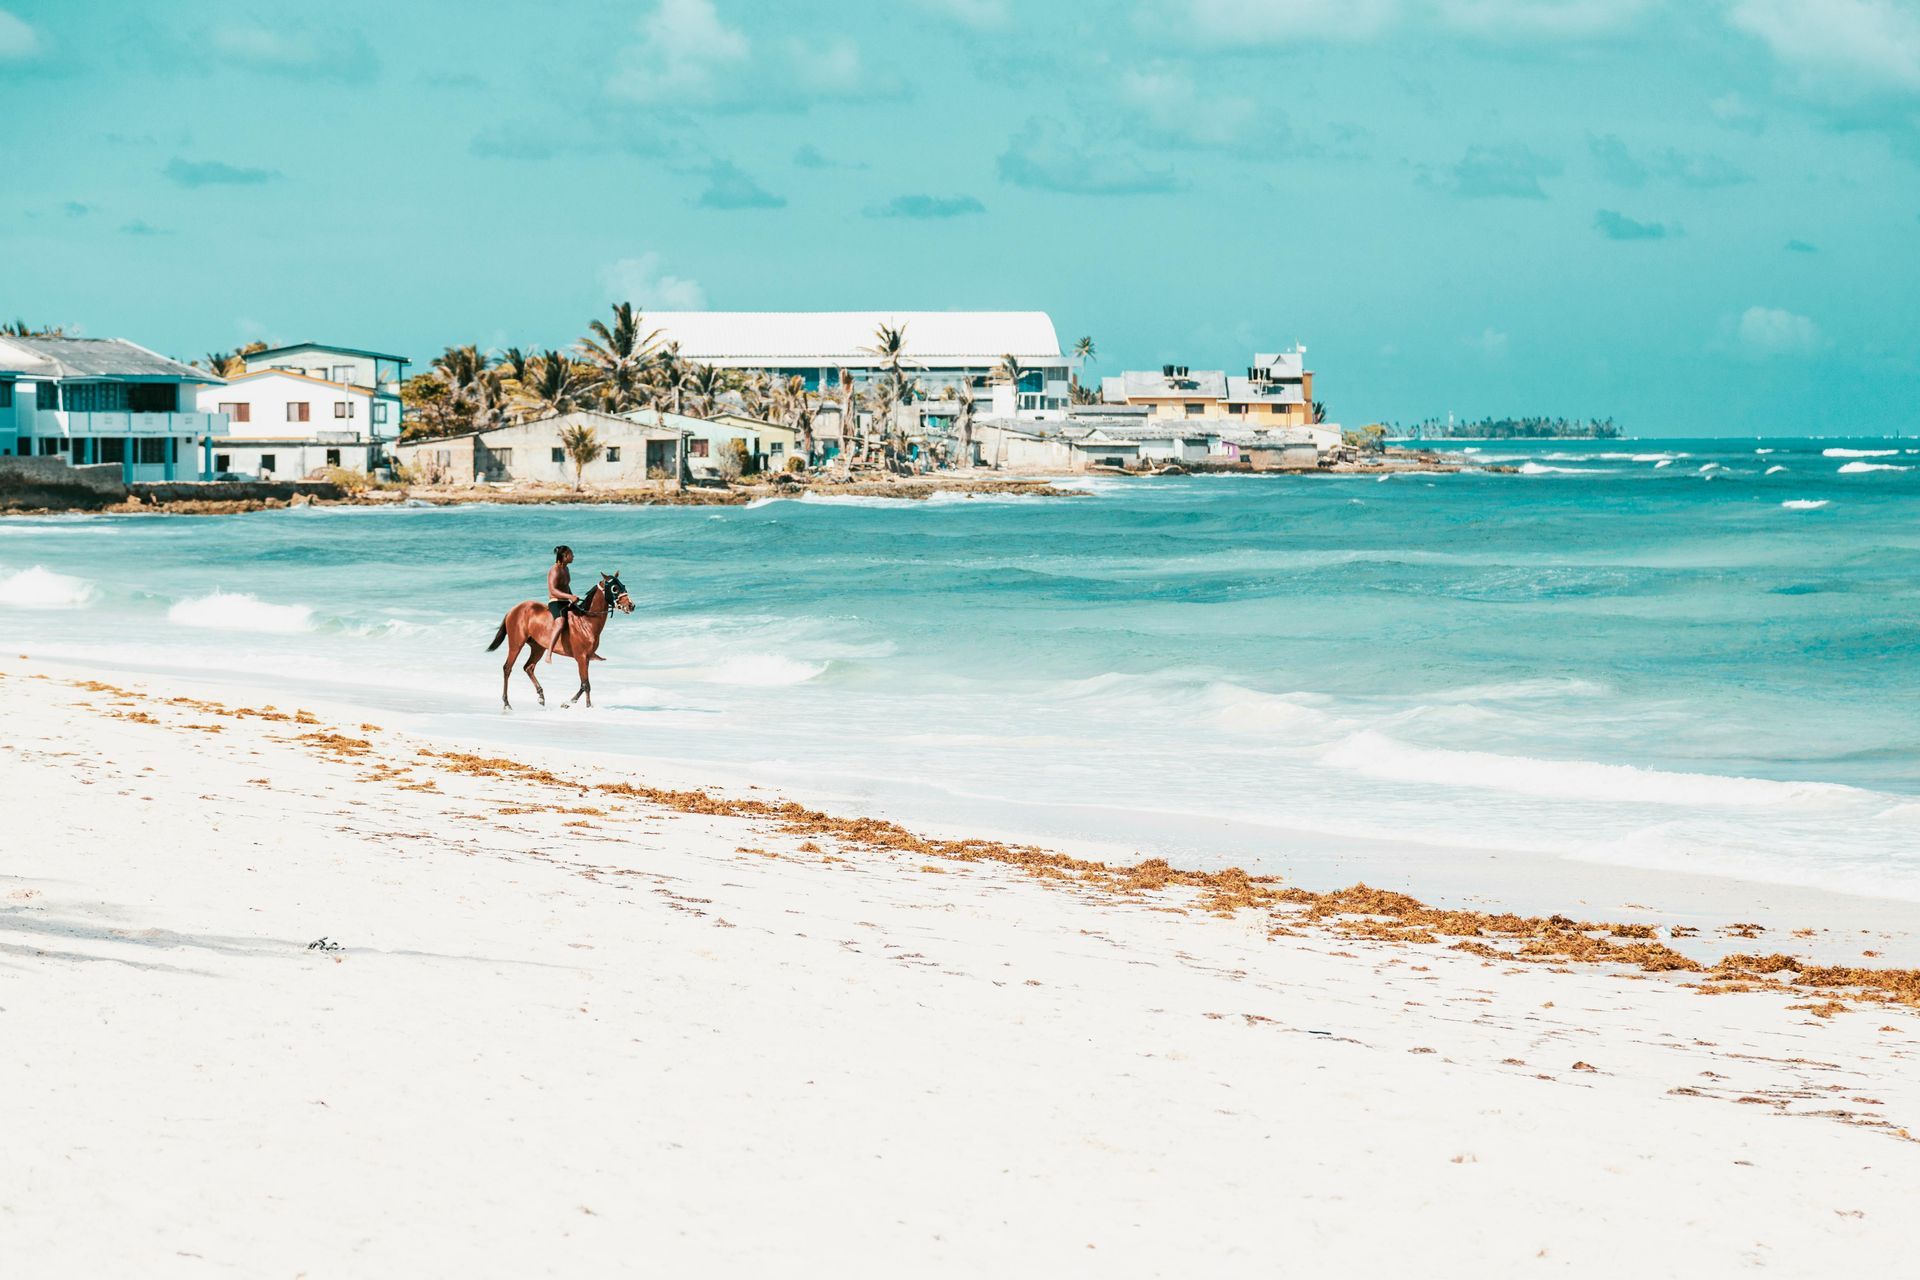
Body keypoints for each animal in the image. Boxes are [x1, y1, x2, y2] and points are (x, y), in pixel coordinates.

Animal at [483, 571, 633, 710]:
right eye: (614, 588)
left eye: (623, 586)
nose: (631, 606)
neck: (586, 621)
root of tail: (513, 610)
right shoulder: (581, 657)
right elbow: (586, 684)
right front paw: (588, 706)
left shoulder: (586, 659)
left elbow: (583, 684)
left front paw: (568, 703)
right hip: (516, 644)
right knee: (507, 668)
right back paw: (507, 703)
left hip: (538, 647)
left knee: (528, 667)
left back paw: (541, 697)